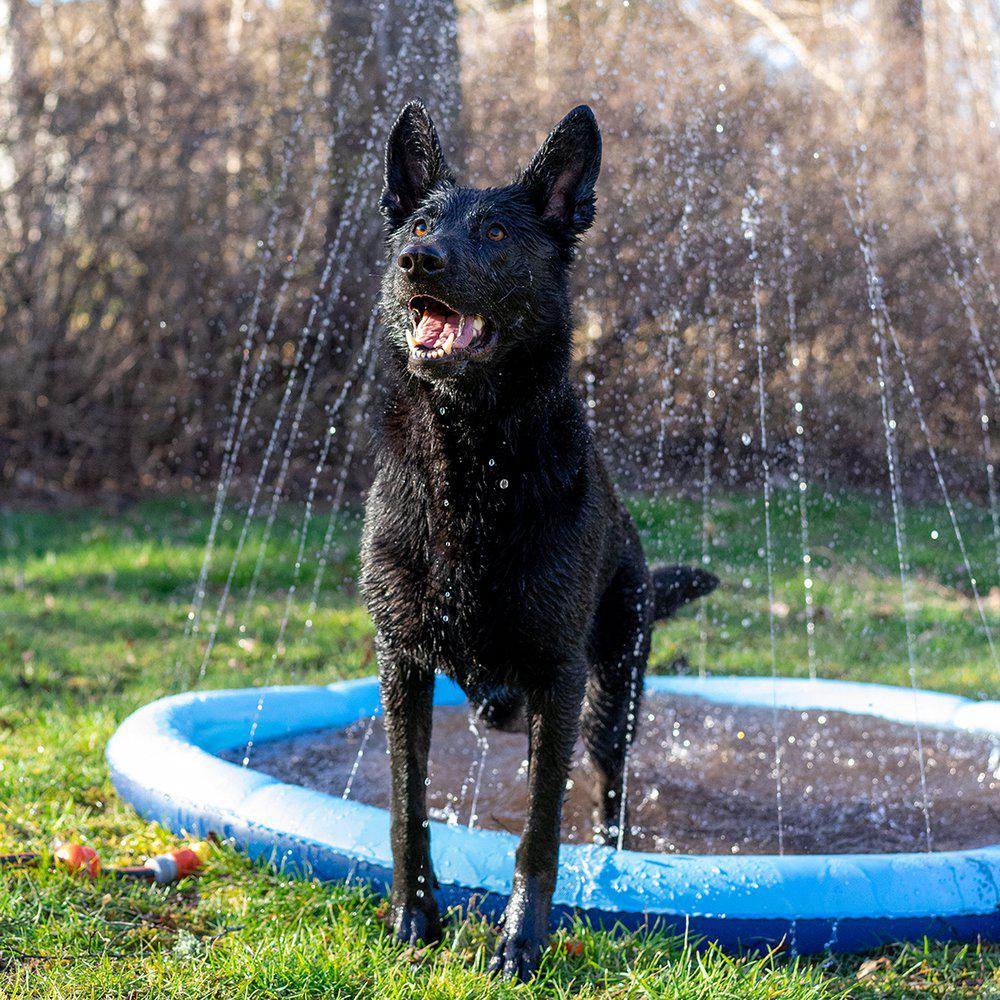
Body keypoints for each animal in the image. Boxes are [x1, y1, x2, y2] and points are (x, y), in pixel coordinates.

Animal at [362, 103, 720, 984]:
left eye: (494, 232)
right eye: (417, 225)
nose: (419, 260)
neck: (471, 461)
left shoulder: (559, 680)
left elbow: (538, 831)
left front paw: (520, 939)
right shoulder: (402, 663)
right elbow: (407, 804)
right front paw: (414, 917)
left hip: (612, 692)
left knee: (609, 789)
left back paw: (614, 858)